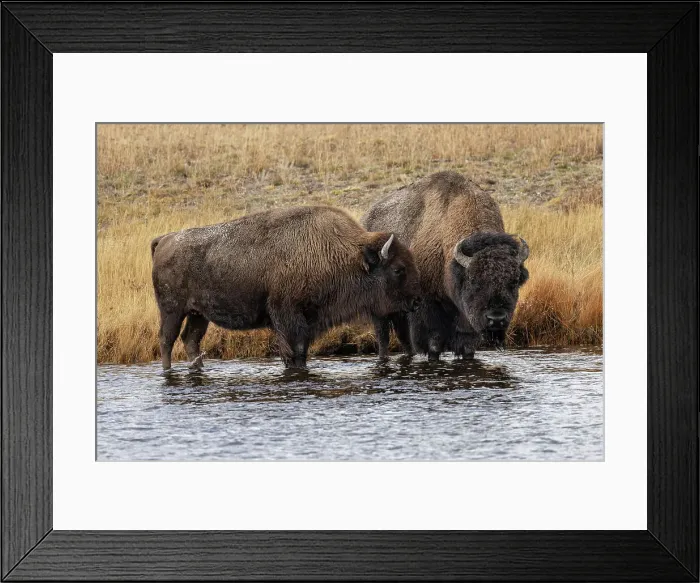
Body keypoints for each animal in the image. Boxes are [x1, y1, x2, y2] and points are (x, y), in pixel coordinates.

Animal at [151, 206, 420, 370]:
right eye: (398, 269)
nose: (416, 302)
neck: (342, 254)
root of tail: (165, 239)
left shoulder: (308, 320)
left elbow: (302, 351)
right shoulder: (288, 317)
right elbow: (294, 351)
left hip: (199, 314)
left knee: (190, 339)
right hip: (172, 310)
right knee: (166, 339)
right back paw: (167, 372)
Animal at [363, 171, 529, 361]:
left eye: (514, 282)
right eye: (473, 281)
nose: (496, 318)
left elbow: (468, 345)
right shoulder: (427, 307)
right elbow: (434, 344)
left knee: (403, 339)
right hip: (380, 310)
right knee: (383, 336)